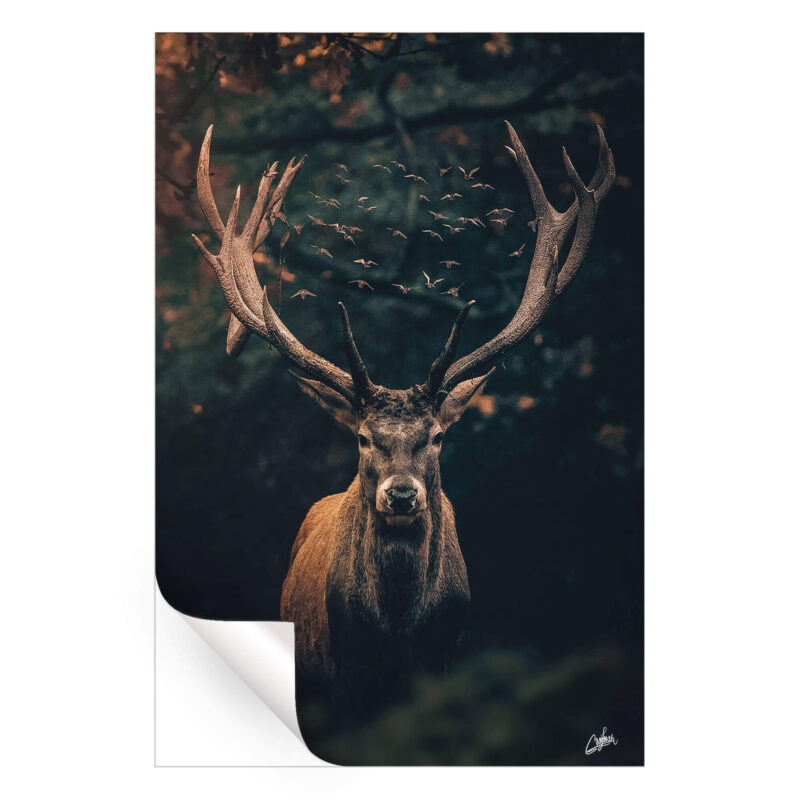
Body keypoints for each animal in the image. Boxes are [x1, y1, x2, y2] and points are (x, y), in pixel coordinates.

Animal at [191, 121, 615, 710]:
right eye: (364, 438)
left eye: (436, 436)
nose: (400, 494)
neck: (396, 633)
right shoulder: (341, 677)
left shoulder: (443, 658)